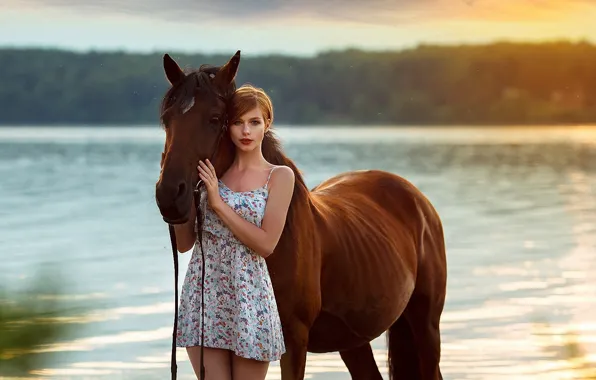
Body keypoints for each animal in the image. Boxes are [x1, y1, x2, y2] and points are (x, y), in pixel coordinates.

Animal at [156, 51, 444, 380]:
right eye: (167, 119)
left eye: (215, 118)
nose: (170, 196)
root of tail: (417, 199)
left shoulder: (294, 339)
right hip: (354, 341)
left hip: (426, 325)